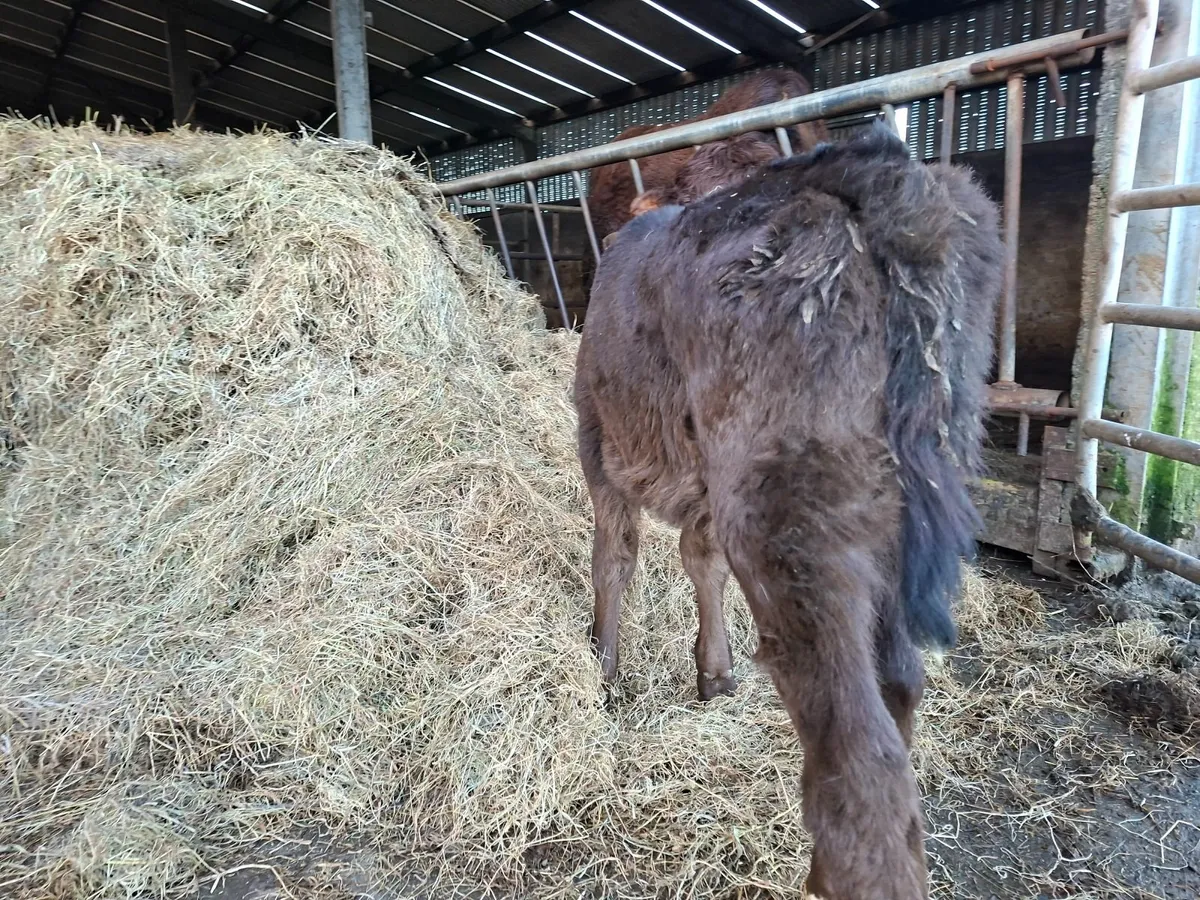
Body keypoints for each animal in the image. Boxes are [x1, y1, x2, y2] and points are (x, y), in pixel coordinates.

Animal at [573, 124, 1004, 899]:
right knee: (898, 685)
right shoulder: (704, 489)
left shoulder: (597, 437)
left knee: (860, 752)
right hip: (901, 499)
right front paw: (712, 675)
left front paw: (604, 667)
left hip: (784, 516)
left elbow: (613, 558)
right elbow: (698, 561)